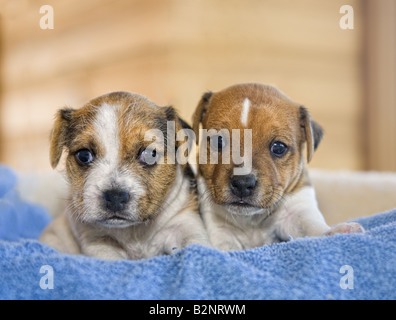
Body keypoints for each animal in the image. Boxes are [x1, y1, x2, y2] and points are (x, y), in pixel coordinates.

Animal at [39, 90, 210, 260]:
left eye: (151, 154)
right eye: (84, 155)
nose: (115, 197)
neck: (134, 231)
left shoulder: (184, 224)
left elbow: (197, 245)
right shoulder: (97, 240)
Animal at [193, 82, 366, 250]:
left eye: (278, 147)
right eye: (218, 141)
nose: (242, 183)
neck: (252, 219)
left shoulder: (297, 209)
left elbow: (313, 226)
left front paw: (336, 231)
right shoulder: (219, 229)